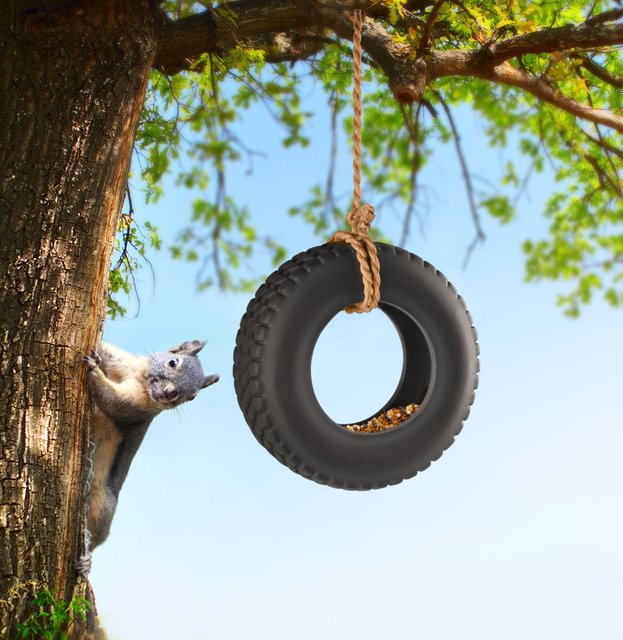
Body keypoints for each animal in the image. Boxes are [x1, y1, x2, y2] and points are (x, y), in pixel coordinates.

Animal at [77, 340, 219, 576]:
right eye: (173, 362)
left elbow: (112, 400)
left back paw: (87, 561)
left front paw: (94, 372)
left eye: (192, 396)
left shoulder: (137, 407)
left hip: (102, 504)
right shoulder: (124, 362)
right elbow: (108, 353)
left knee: (96, 538)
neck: (140, 378)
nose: (170, 394)